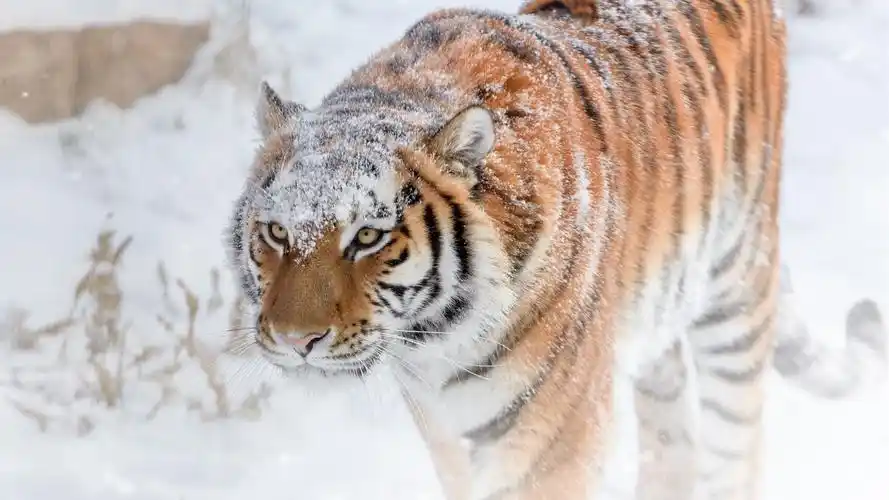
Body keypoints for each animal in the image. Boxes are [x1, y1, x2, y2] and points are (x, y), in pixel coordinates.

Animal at [224, 0, 888, 499]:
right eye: (277, 233)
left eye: (368, 236)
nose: (294, 341)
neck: (436, 340)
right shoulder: (447, 433)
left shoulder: (553, 434)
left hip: (736, 287)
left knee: (735, 446)